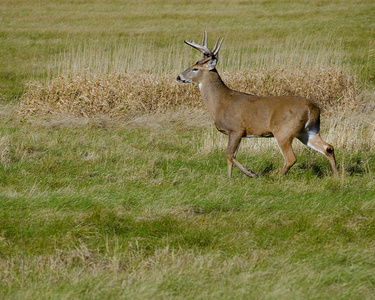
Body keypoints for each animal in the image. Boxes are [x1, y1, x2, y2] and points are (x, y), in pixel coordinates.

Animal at [178, 31, 340, 177]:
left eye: (195, 68)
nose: (178, 77)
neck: (219, 103)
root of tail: (313, 108)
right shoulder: (237, 133)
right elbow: (231, 156)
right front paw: (229, 178)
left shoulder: (236, 129)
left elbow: (229, 154)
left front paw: (251, 173)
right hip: (308, 131)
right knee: (328, 147)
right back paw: (337, 175)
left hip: (284, 131)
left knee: (291, 158)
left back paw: (276, 177)